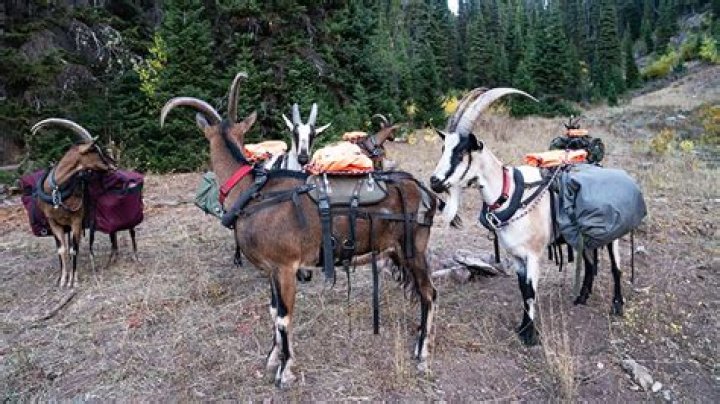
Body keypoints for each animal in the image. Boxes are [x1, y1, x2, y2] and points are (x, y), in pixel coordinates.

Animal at [31, 119, 116, 287]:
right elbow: (62, 250)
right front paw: (63, 279)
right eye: (95, 150)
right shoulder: (53, 222)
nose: (113, 164)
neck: (57, 189)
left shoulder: (76, 219)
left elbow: (74, 249)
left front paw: (73, 280)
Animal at [160, 81, 437, 387]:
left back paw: (422, 354)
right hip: (396, 250)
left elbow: (283, 316)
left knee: (429, 293)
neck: (252, 190)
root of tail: (424, 191)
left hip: (414, 249)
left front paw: (285, 372)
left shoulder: (285, 266)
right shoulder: (271, 268)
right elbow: (272, 310)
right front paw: (272, 358)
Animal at [429, 88, 625, 346]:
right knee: (591, 264)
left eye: (461, 152)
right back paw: (581, 298)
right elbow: (523, 290)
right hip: (584, 235)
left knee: (616, 267)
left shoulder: (533, 254)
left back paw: (617, 307)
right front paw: (522, 329)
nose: (434, 181)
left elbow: (531, 292)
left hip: (613, 233)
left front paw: (531, 336)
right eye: (443, 149)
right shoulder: (517, 256)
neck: (510, 192)